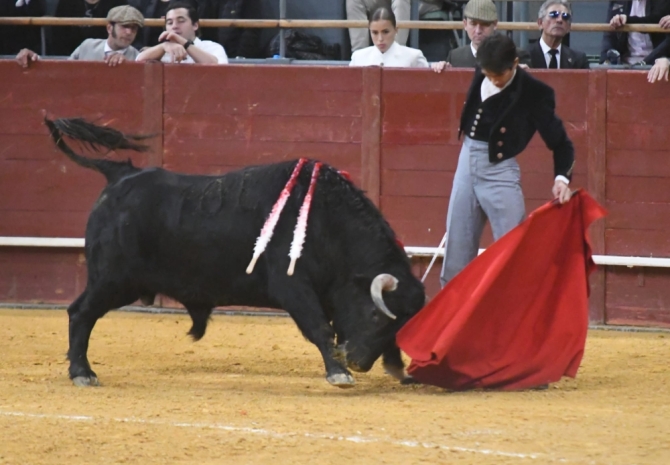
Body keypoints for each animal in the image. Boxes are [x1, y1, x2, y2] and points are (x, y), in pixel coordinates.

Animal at [46, 117, 426, 388]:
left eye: (401, 323)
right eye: (375, 316)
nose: (359, 362)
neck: (326, 220)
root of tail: (120, 174)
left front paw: (399, 369)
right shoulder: (293, 286)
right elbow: (320, 327)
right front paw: (338, 373)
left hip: (124, 283)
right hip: (112, 278)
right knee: (80, 313)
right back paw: (82, 372)